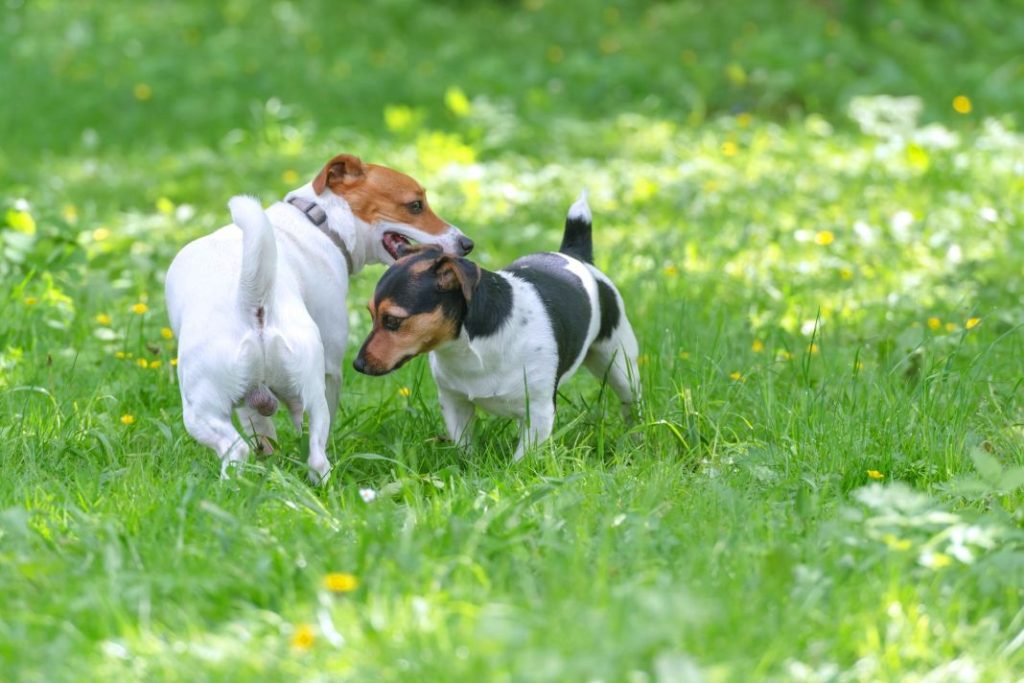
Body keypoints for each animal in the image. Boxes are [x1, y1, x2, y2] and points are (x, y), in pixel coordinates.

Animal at [165, 153, 473, 485]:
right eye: (416, 205)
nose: (467, 243)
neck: (318, 221)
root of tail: (252, 300)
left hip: (215, 408)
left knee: (252, 451)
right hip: (282, 396)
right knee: (298, 454)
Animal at [356, 191, 634, 458]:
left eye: (393, 321)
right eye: (371, 314)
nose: (357, 365)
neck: (468, 348)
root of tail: (573, 254)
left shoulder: (539, 411)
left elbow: (523, 460)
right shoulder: (455, 403)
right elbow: (465, 450)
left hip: (619, 362)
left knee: (630, 400)